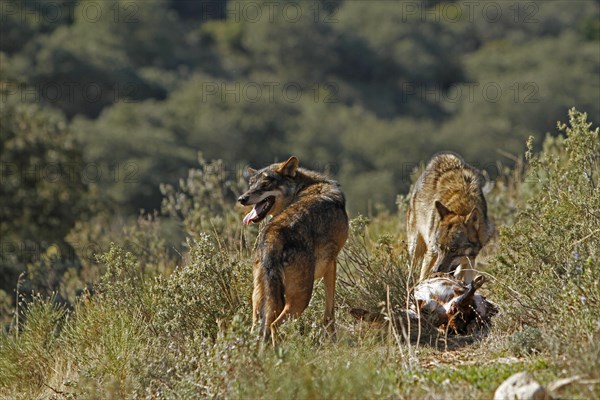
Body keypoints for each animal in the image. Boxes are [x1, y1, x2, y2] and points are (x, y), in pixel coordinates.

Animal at [238, 156, 350, 344]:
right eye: (252, 184)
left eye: (265, 184)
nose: (242, 198)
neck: (304, 187)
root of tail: (271, 235)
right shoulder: (332, 264)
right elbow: (329, 312)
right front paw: (333, 341)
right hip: (301, 297)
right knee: (274, 325)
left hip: (259, 298)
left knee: (257, 328)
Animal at [408, 152, 492, 282]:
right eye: (439, 247)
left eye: (453, 249)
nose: (436, 270)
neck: (462, 206)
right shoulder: (432, 252)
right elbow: (422, 277)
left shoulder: (470, 261)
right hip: (416, 248)